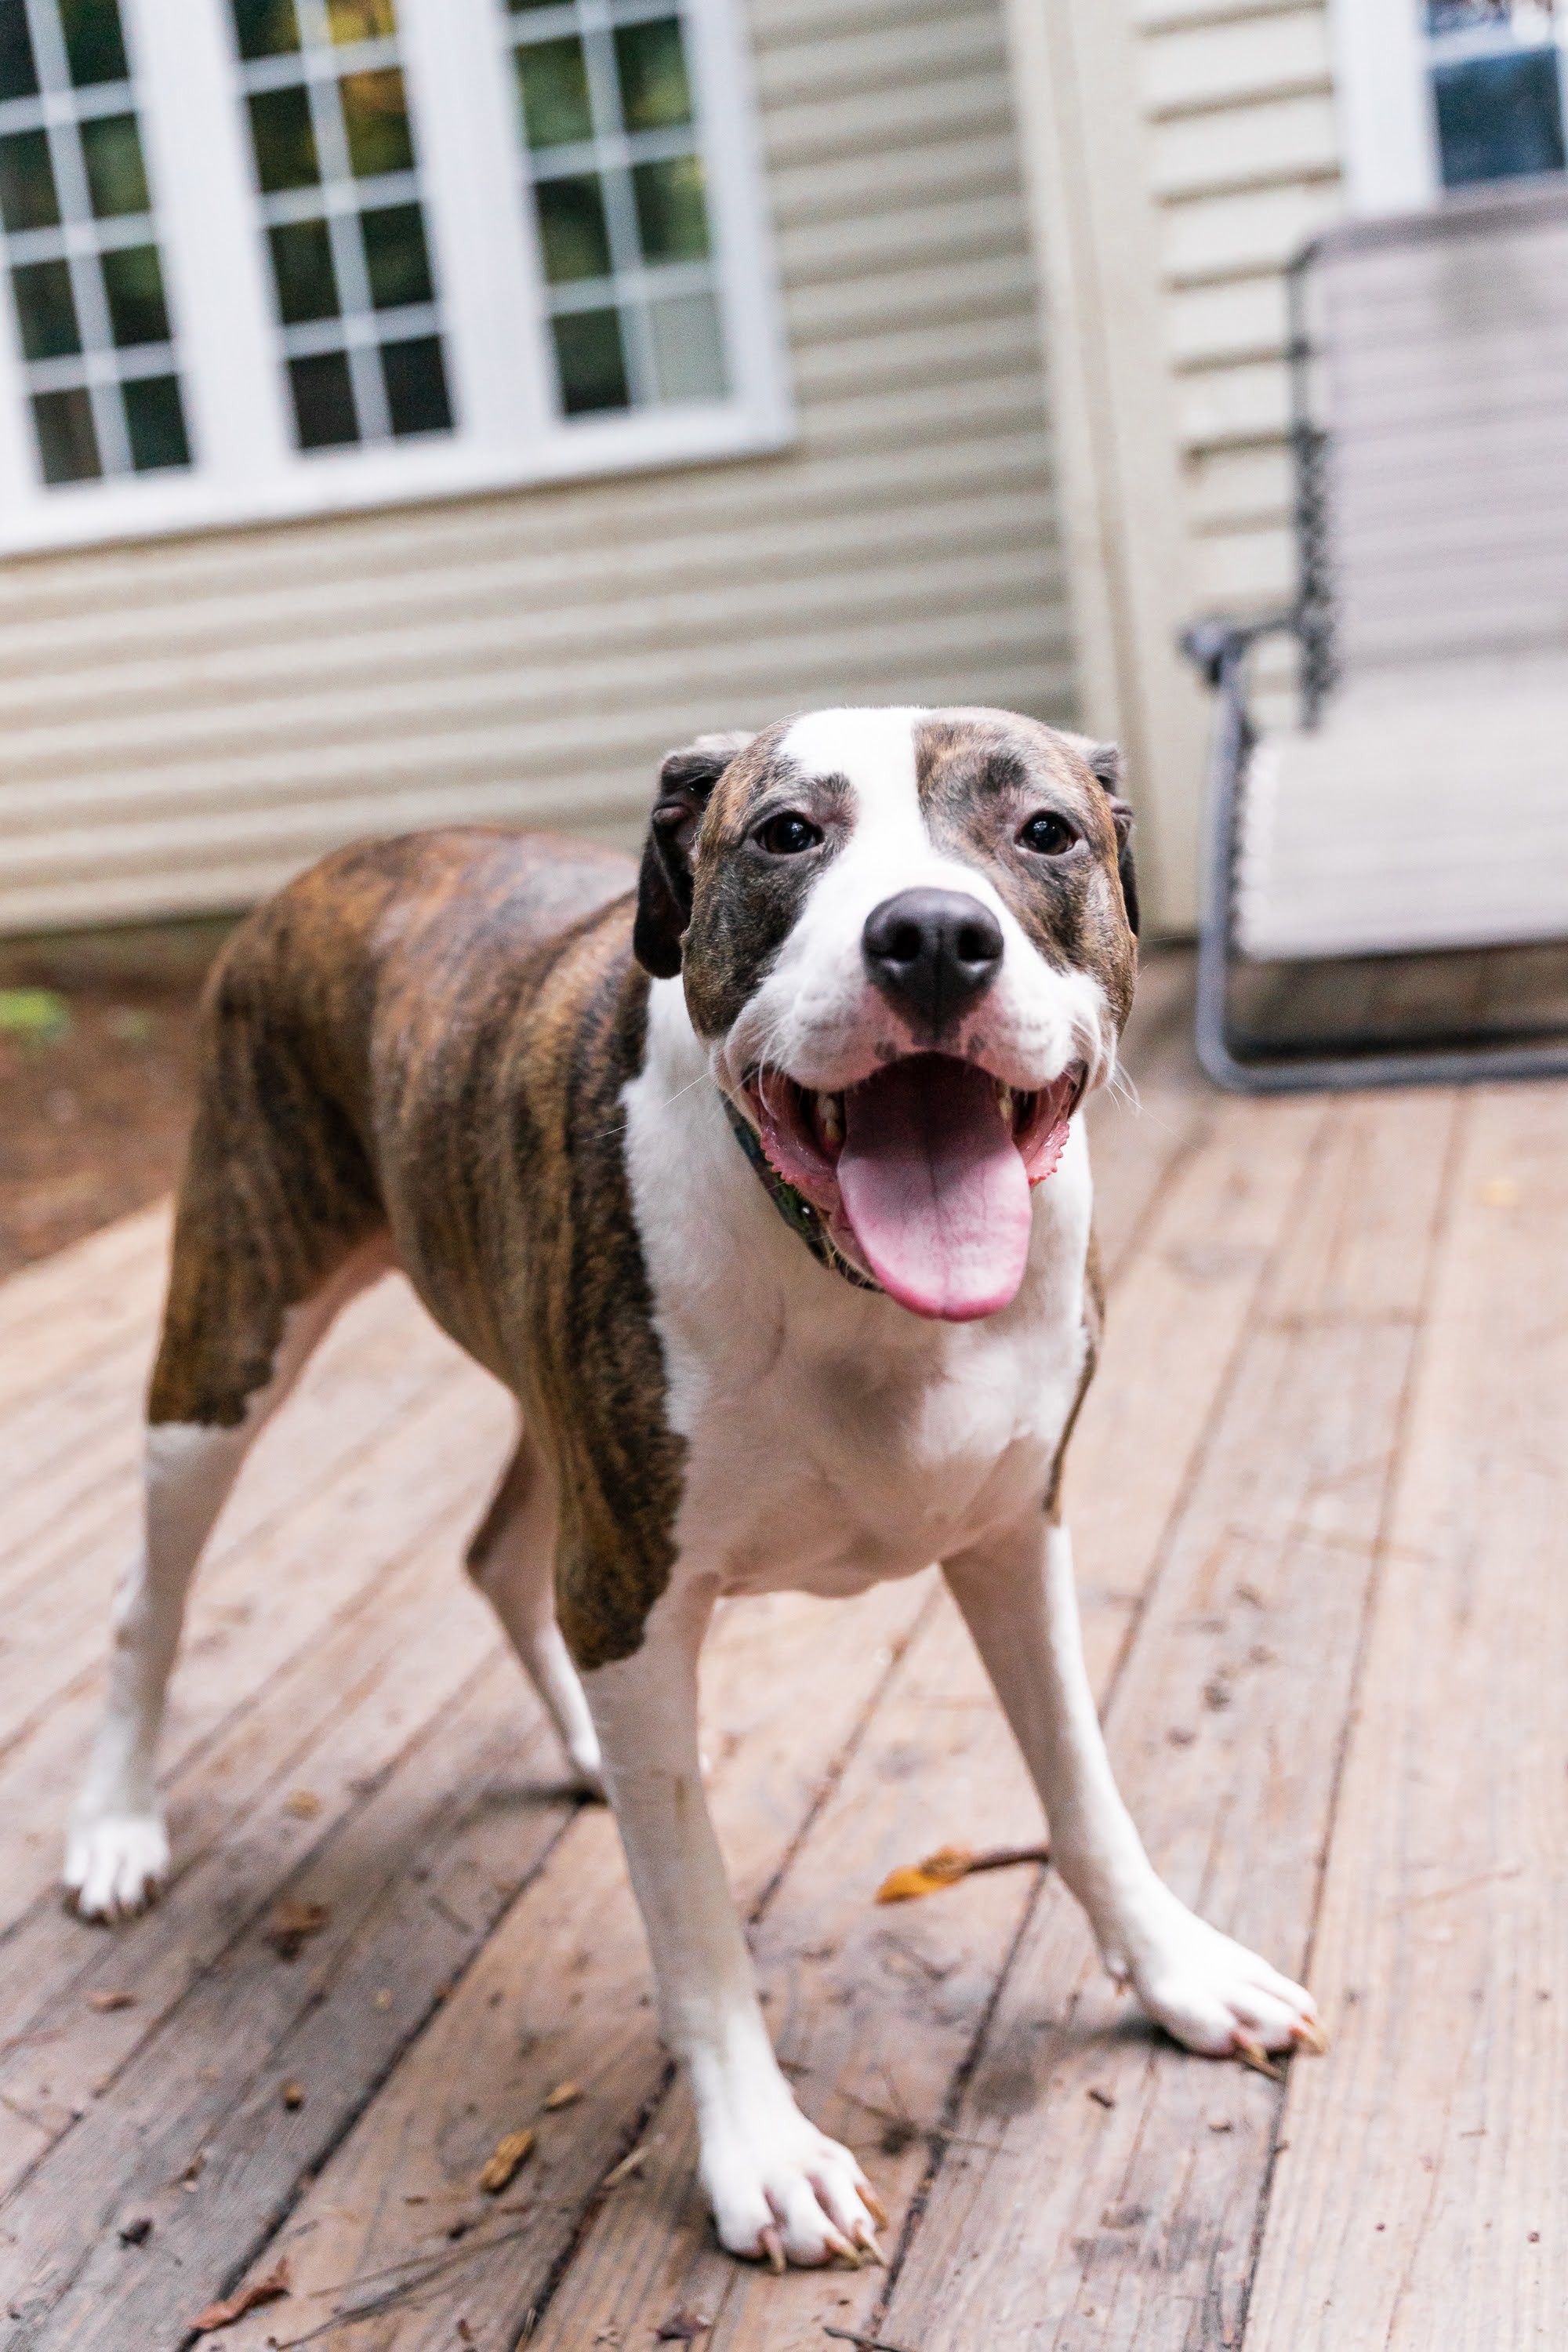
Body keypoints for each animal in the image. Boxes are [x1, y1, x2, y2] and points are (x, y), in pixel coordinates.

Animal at [61, 706, 1316, 2267]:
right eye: (785, 834)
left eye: (1044, 833)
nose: (933, 937)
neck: (856, 1291)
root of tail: (346, 858)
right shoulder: (640, 1588)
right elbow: (695, 1912)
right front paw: (763, 2152)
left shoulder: (1013, 1536)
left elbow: (1084, 1787)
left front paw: (1177, 1971)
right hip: (232, 1341)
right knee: (148, 1595)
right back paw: (116, 1825)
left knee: (499, 1560)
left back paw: (586, 1744)